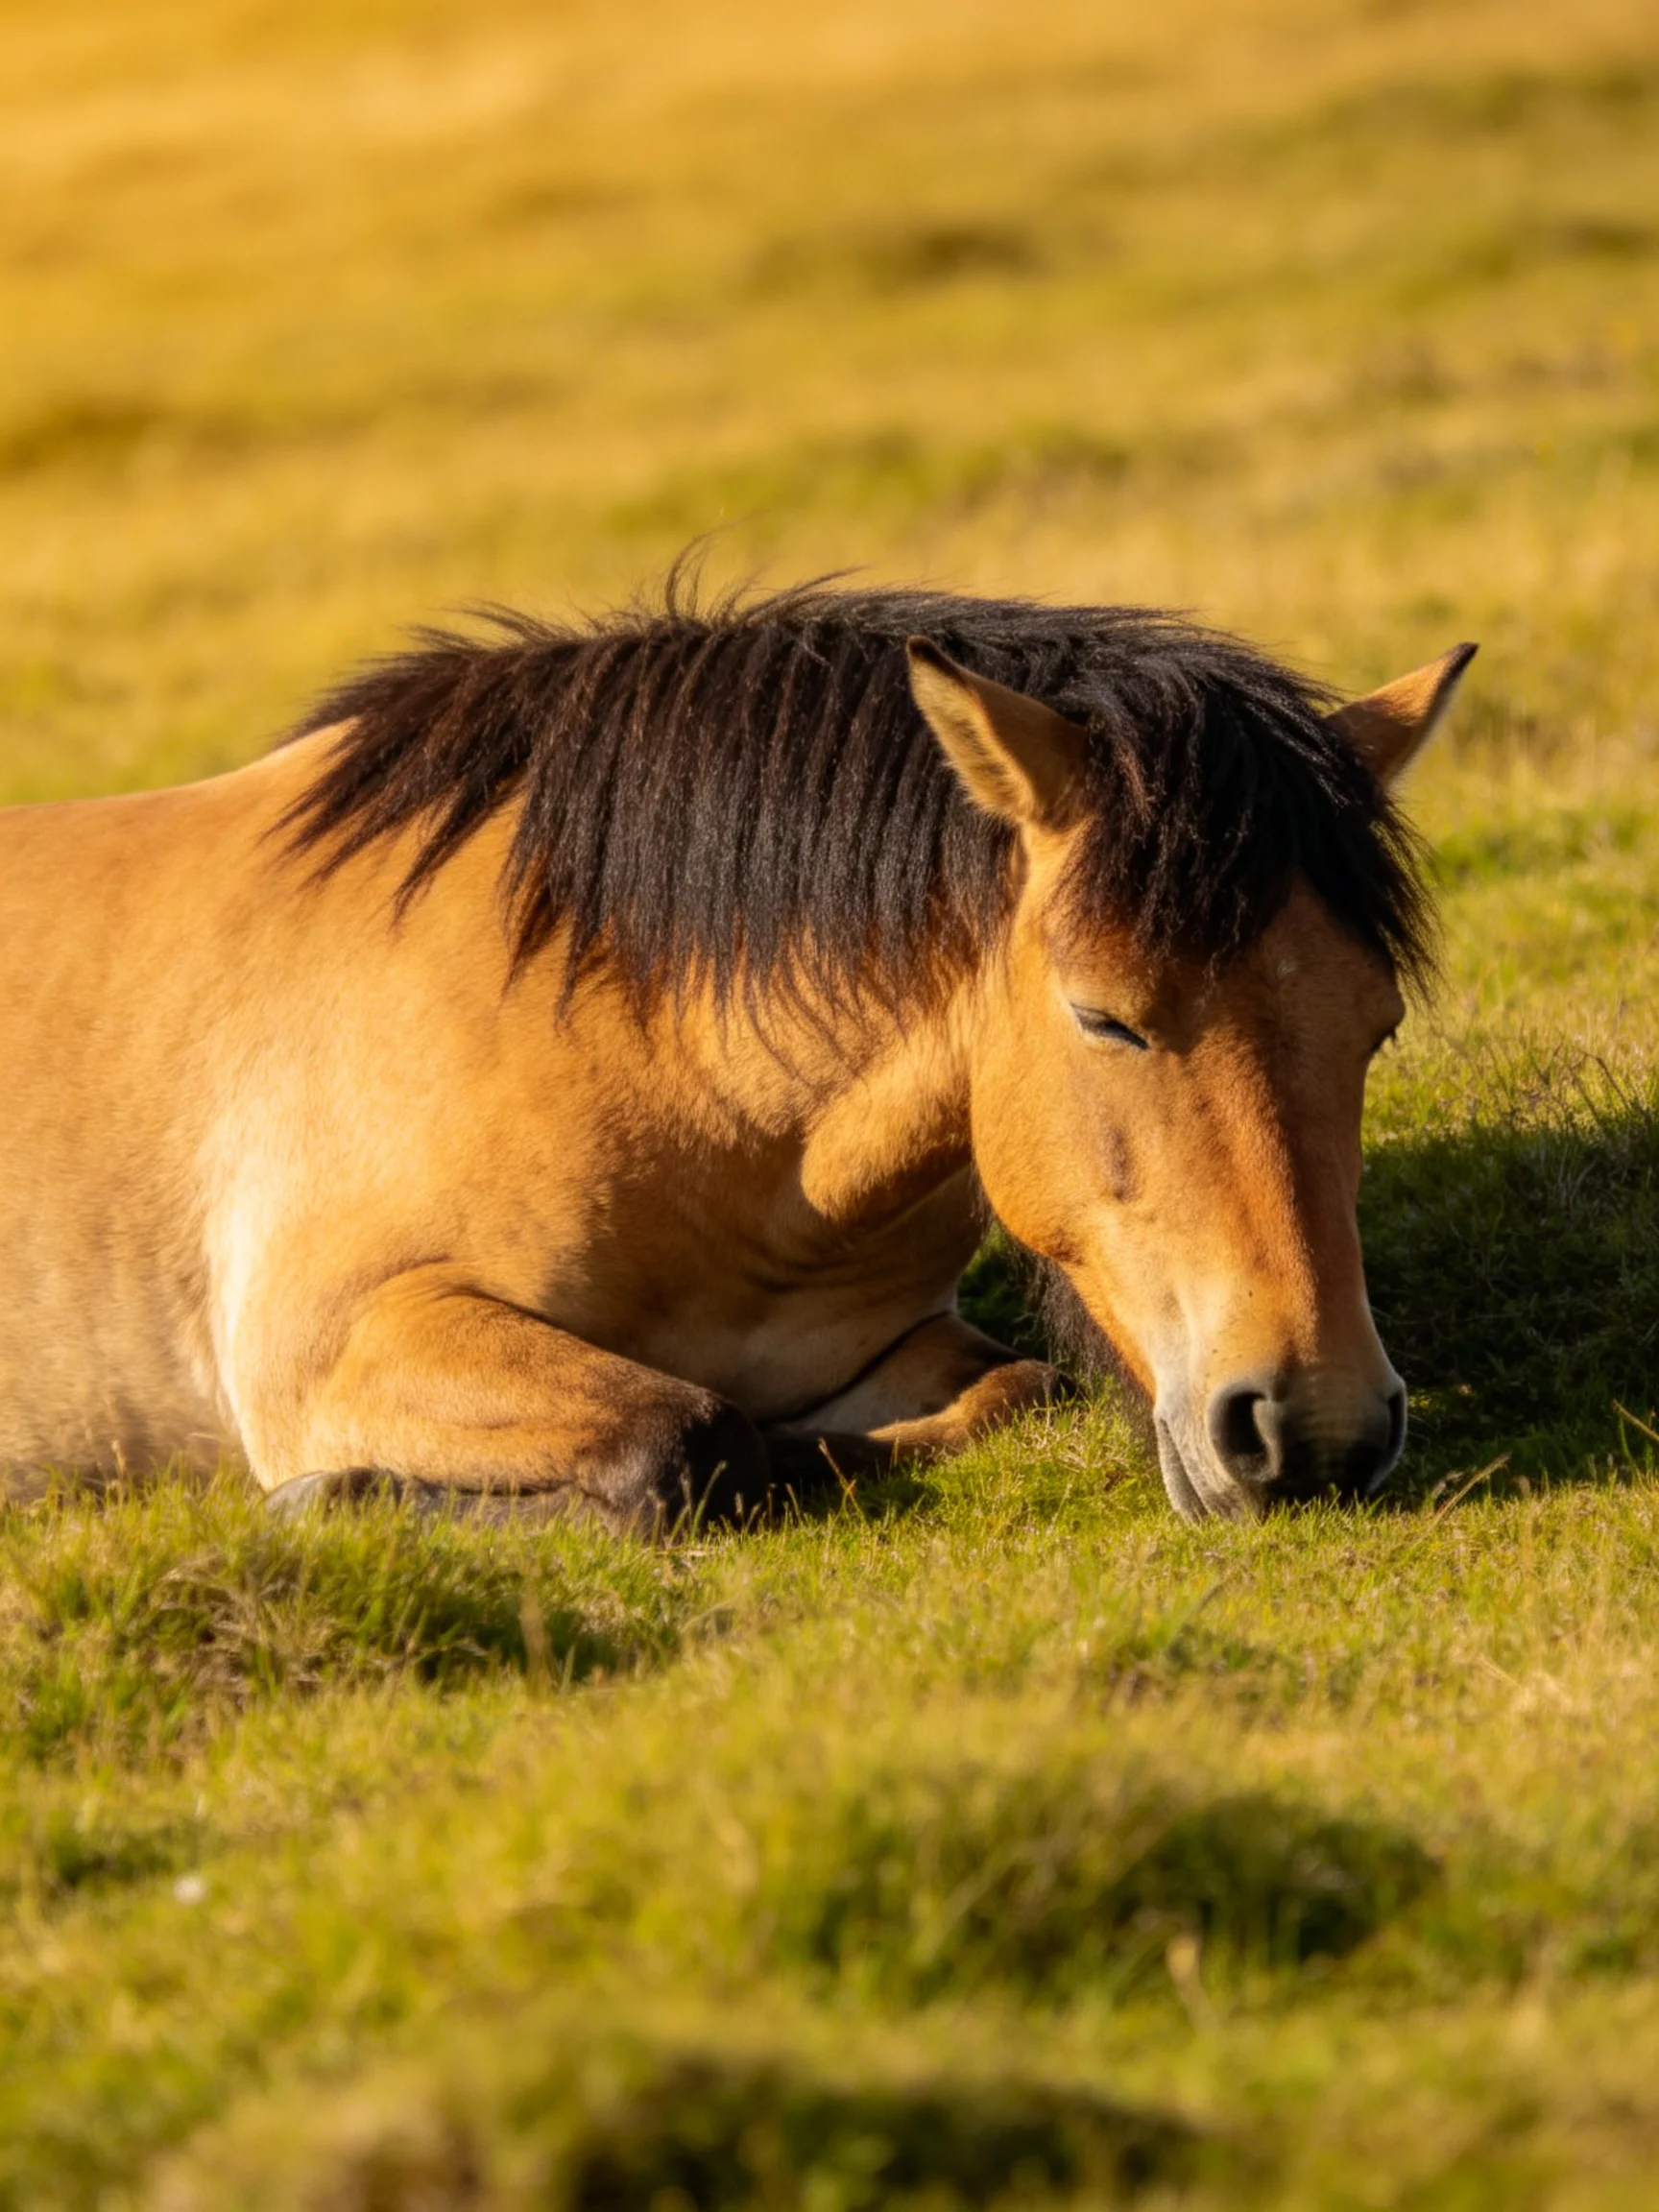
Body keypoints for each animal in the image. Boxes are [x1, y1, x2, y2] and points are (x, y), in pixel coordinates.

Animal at [0, 580, 1471, 1527]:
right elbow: (688, 1441)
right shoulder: (345, 1338)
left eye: (1376, 1025)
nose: (1316, 1430)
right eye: (1106, 1017)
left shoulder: (878, 1346)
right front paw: (330, 1496)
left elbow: (1013, 1391)